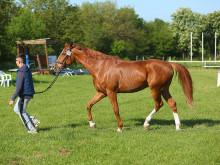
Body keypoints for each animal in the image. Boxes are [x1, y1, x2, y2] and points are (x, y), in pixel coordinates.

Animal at [52, 42, 192, 131]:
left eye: (63, 53)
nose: (55, 68)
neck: (100, 67)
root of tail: (169, 64)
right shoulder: (101, 93)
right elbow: (89, 105)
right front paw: (92, 124)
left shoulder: (111, 92)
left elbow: (116, 109)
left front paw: (120, 127)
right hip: (164, 89)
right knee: (172, 103)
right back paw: (177, 126)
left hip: (155, 89)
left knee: (159, 104)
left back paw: (146, 124)